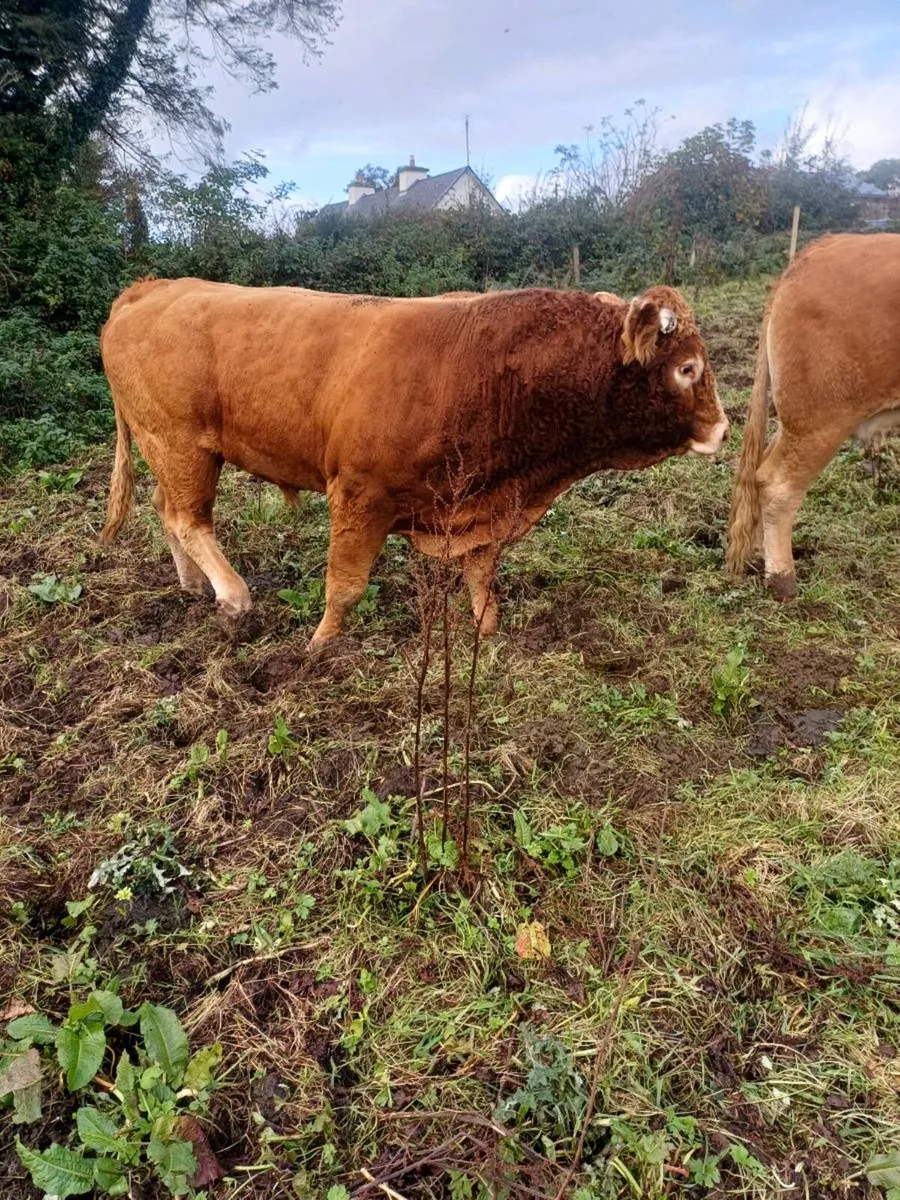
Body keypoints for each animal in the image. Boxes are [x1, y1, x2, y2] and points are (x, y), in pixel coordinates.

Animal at [99, 279, 728, 649]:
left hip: (171, 450)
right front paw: (320, 646)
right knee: (188, 519)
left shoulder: (480, 500)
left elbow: (480, 574)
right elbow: (345, 587)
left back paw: (192, 584)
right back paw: (232, 595)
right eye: (688, 369)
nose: (723, 428)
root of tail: (152, 287)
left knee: (167, 509)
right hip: (181, 444)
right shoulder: (360, 495)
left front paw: (486, 631)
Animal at [727, 233, 900, 598]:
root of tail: (813, 252)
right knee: (777, 484)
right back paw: (782, 579)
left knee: (762, 469)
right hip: (821, 417)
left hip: (797, 417)